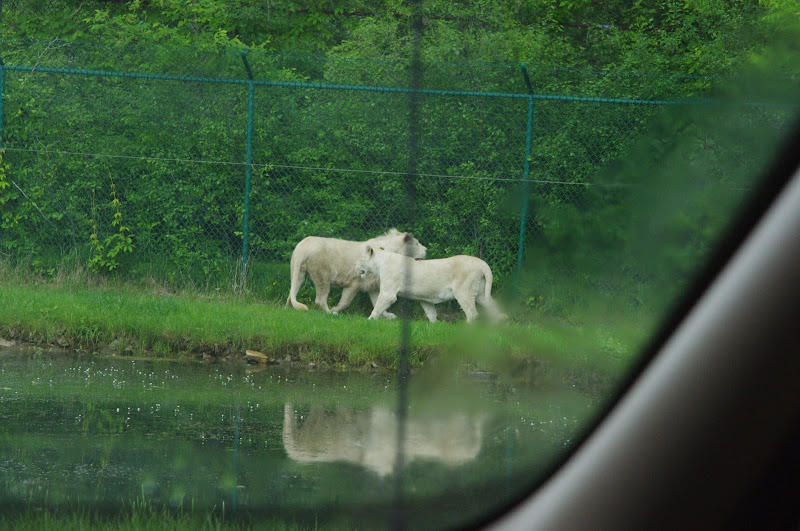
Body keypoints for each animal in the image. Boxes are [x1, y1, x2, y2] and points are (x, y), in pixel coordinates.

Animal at [286, 229, 427, 316]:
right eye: (417, 243)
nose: (426, 249)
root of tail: (302, 246)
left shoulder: (372, 286)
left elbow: (377, 303)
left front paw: (389, 316)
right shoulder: (355, 282)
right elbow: (345, 302)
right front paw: (335, 310)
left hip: (298, 273)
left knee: (291, 294)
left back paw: (287, 310)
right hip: (322, 275)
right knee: (320, 300)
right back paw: (329, 313)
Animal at [355, 245, 507, 323]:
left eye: (360, 258)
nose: (355, 266)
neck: (380, 263)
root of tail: (482, 264)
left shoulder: (388, 293)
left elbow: (378, 307)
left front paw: (368, 321)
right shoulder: (424, 299)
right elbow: (431, 314)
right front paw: (435, 325)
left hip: (464, 291)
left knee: (472, 313)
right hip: (481, 293)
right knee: (492, 306)